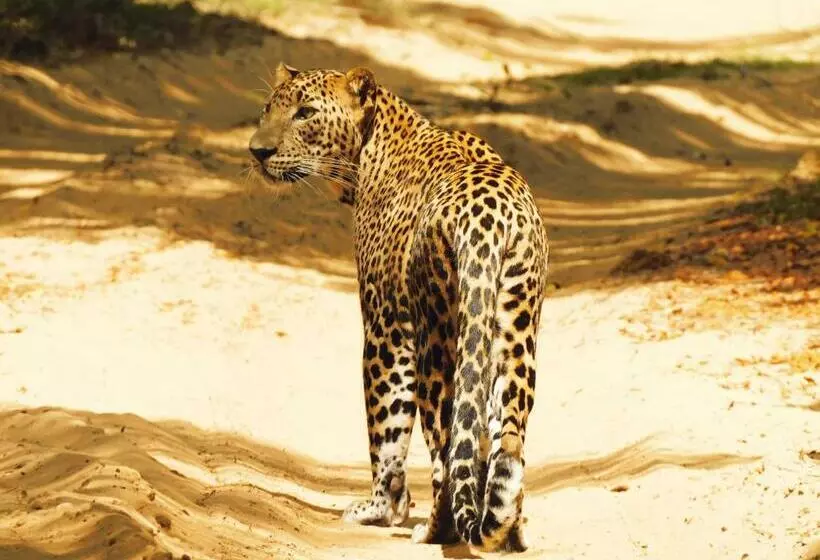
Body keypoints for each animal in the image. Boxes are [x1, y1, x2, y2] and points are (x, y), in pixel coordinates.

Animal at [249, 63, 548, 553]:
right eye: (266, 109)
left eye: (305, 112)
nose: (257, 151)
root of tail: (489, 219)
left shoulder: (385, 328)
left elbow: (385, 426)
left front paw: (382, 508)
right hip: (514, 331)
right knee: (508, 436)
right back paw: (511, 529)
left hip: (436, 340)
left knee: (444, 442)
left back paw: (435, 530)